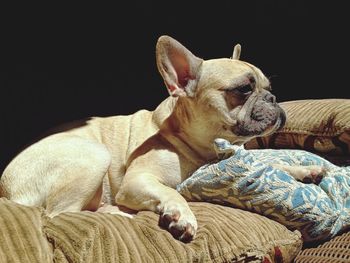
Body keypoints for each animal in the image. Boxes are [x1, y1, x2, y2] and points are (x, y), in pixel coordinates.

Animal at [0, 35, 320, 243]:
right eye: (243, 89)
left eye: (269, 87)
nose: (273, 99)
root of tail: (6, 190)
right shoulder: (137, 180)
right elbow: (172, 192)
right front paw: (182, 215)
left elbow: (271, 162)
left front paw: (303, 170)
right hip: (95, 153)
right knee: (58, 214)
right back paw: (117, 212)